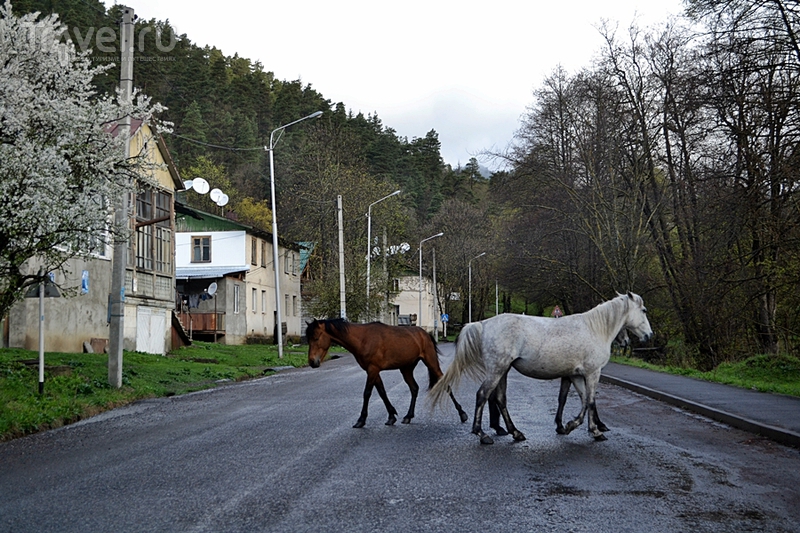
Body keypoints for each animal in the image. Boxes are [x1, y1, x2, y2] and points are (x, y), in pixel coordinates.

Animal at [306, 320, 468, 428]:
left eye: (316, 337)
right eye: (309, 339)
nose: (312, 362)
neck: (363, 339)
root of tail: (425, 334)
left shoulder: (372, 370)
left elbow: (367, 393)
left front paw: (361, 420)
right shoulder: (373, 370)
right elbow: (382, 392)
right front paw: (391, 416)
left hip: (431, 362)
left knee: (445, 384)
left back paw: (462, 414)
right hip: (406, 369)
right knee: (414, 388)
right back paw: (408, 416)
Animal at [432, 294, 648, 442]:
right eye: (644, 311)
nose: (648, 335)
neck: (594, 329)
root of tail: (483, 324)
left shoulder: (576, 375)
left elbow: (584, 401)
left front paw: (570, 426)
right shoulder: (592, 373)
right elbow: (591, 401)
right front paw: (594, 430)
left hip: (502, 370)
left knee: (499, 399)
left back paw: (515, 432)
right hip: (497, 370)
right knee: (483, 395)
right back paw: (482, 434)